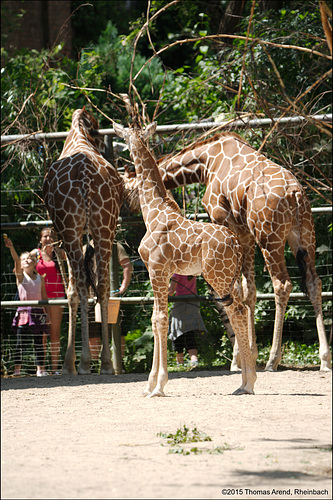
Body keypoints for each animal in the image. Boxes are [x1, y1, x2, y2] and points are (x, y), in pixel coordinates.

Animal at [42, 106, 122, 376]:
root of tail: (86, 176)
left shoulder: (61, 233)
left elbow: (71, 290)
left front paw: (71, 364)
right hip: (104, 226)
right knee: (104, 286)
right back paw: (106, 363)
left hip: (71, 229)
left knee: (79, 286)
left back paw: (81, 362)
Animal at [113, 97, 255, 396]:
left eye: (127, 136)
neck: (153, 211)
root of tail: (236, 244)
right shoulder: (163, 273)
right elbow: (156, 320)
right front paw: (150, 384)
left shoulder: (156, 269)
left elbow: (159, 319)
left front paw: (157, 385)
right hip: (227, 276)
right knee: (239, 309)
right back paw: (244, 382)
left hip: (217, 276)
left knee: (237, 310)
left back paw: (248, 383)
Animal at [154, 131, 330, 374]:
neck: (206, 161)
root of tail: (295, 195)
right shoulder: (245, 232)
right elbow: (249, 291)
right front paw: (250, 353)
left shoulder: (225, 222)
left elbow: (234, 290)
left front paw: (238, 359)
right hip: (304, 235)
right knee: (314, 283)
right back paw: (325, 359)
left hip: (270, 237)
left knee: (282, 284)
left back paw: (273, 359)